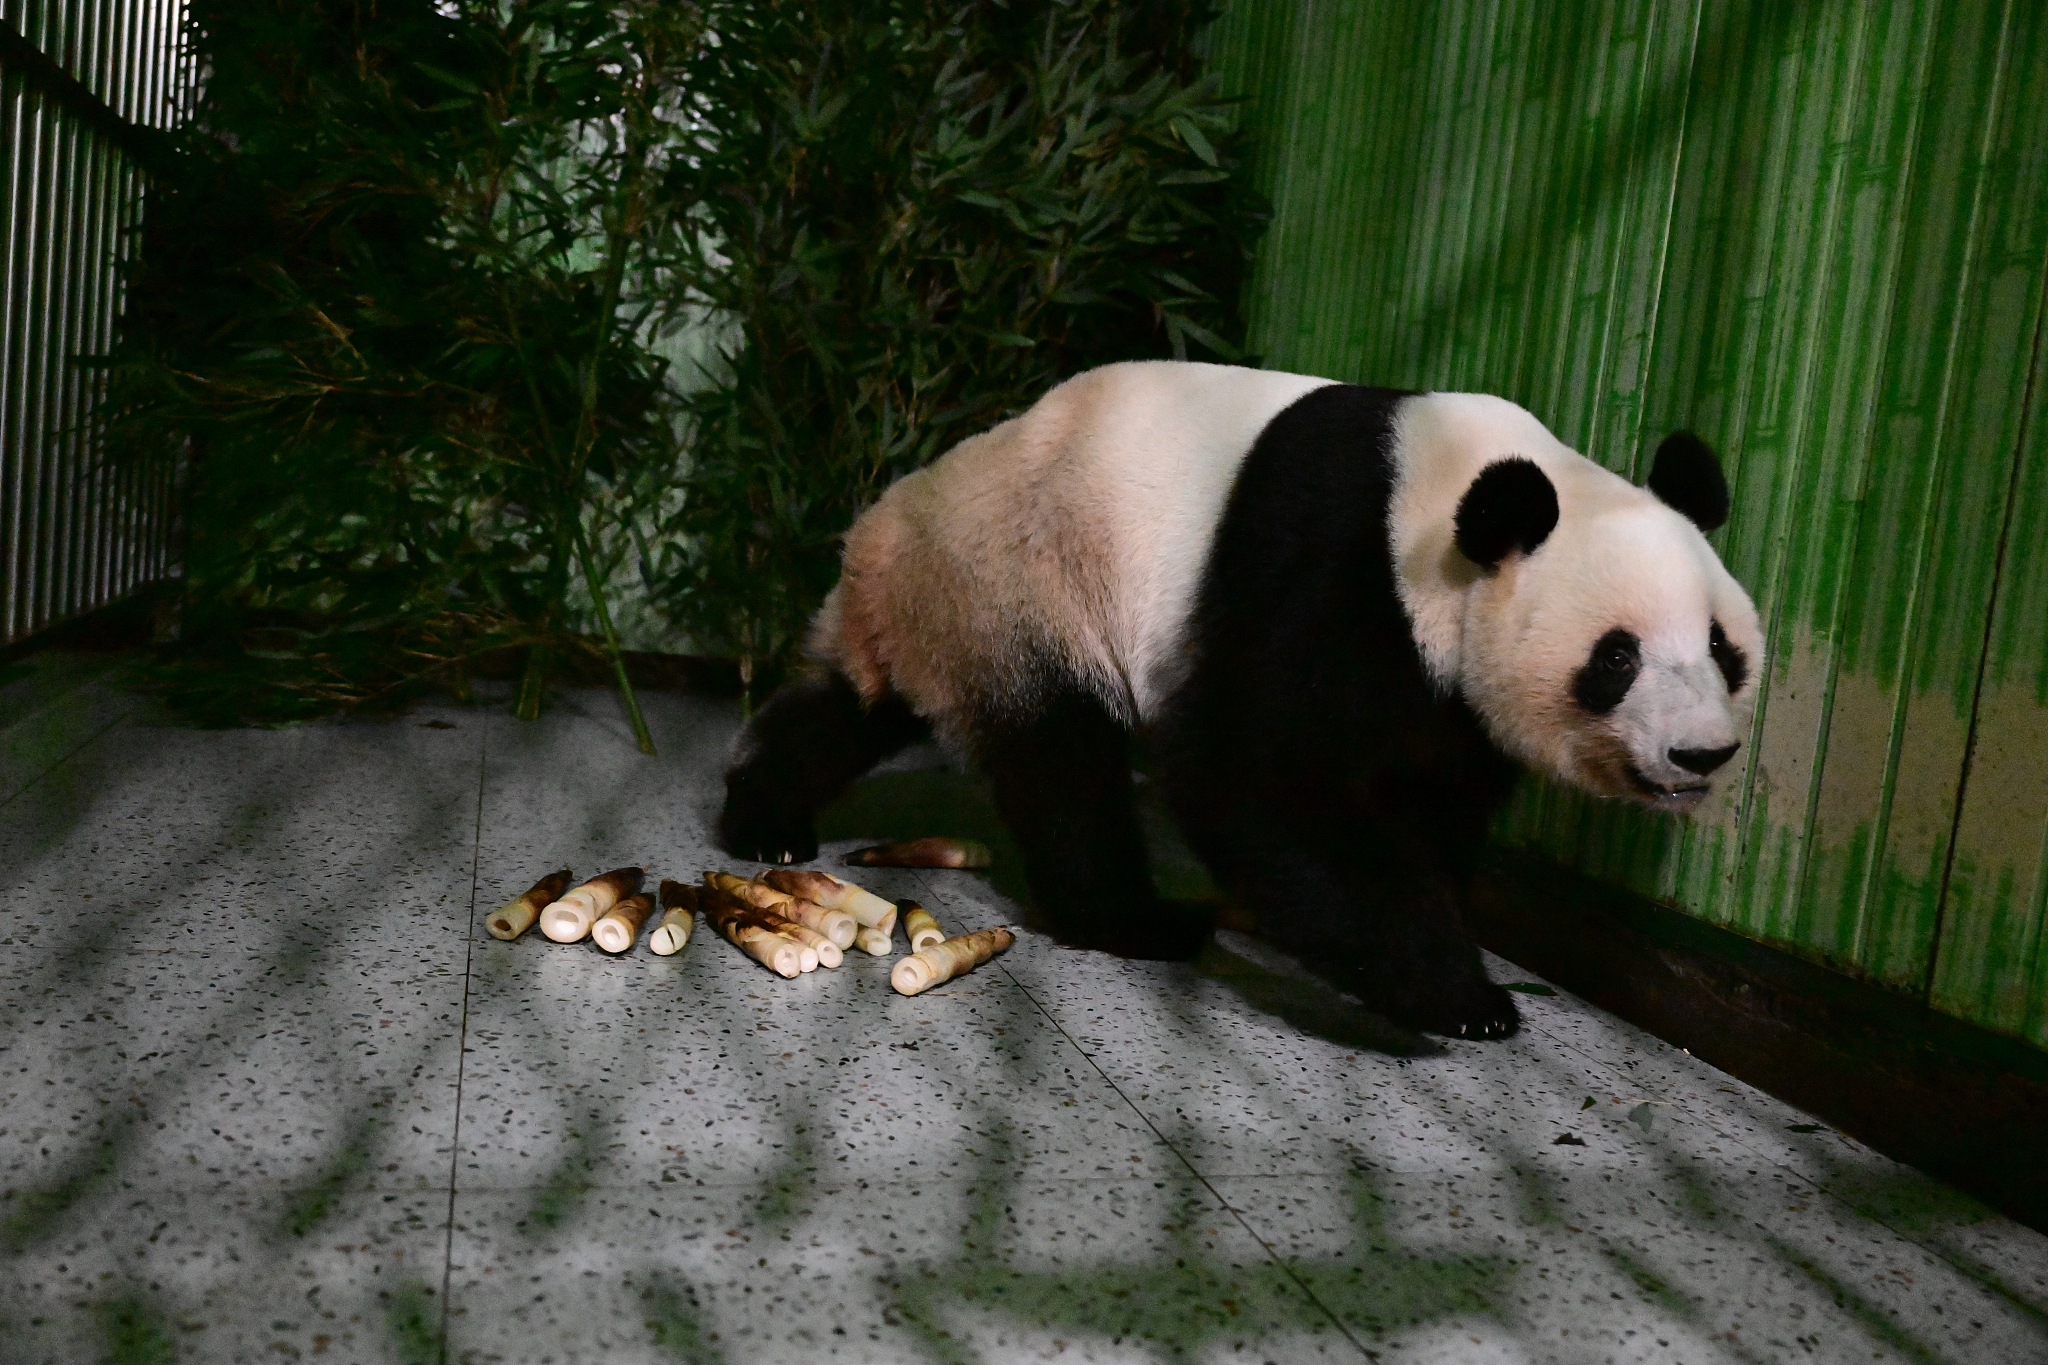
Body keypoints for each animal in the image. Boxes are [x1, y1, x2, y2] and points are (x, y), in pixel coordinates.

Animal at [718, 361, 1764, 1040]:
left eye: (1723, 647)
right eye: (1617, 657)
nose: (1702, 754)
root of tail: (882, 530)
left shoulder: (1447, 692)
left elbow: (1429, 793)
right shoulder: (1331, 558)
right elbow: (1254, 769)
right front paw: (1457, 994)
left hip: (943, 613)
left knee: (849, 710)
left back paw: (764, 819)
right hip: (1021, 585)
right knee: (1064, 764)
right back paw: (1138, 919)